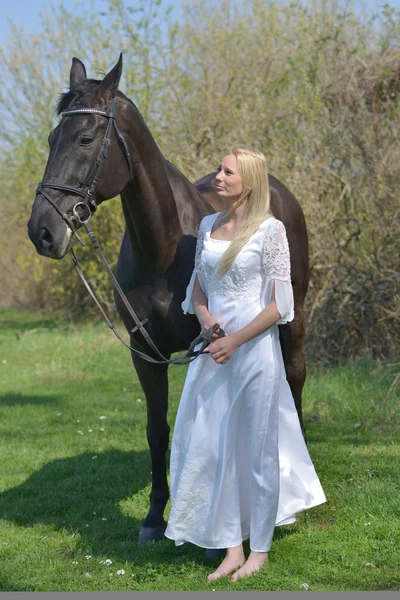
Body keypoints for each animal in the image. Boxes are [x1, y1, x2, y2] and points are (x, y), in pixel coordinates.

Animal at [27, 55, 310, 544]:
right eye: (49, 139)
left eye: (85, 139)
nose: (42, 230)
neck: (164, 245)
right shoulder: (145, 350)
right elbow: (157, 429)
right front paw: (155, 515)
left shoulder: (210, 343)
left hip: (293, 317)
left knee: (294, 377)